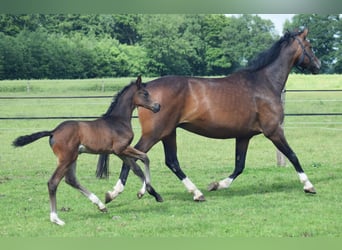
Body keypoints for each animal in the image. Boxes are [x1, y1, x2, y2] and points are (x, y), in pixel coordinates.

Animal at [12, 75, 162, 226]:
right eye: (145, 93)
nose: (157, 106)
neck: (118, 121)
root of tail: (53, 132)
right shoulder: (121, 148)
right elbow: (145, 158)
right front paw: (143, 191)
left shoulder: (118, 152)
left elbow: (137, 169)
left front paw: (144, 193)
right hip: (66, 159)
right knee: (53, 182)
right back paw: (56, 219)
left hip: (72, 157)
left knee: (71, 180)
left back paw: (101, 205)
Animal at [99, 28, 320, 202]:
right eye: (310, 46)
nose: (318, 65)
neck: (263, 82)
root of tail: (144, 89)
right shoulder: (273, 131)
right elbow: (293, 155)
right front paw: (309, 186)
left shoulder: (243, 136)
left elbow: (239, 165)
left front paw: (217, 185)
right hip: (154, 134)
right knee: (134, 156)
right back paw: (117, 193)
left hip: (169, 133)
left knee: (171, 162)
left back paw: (195, 193)